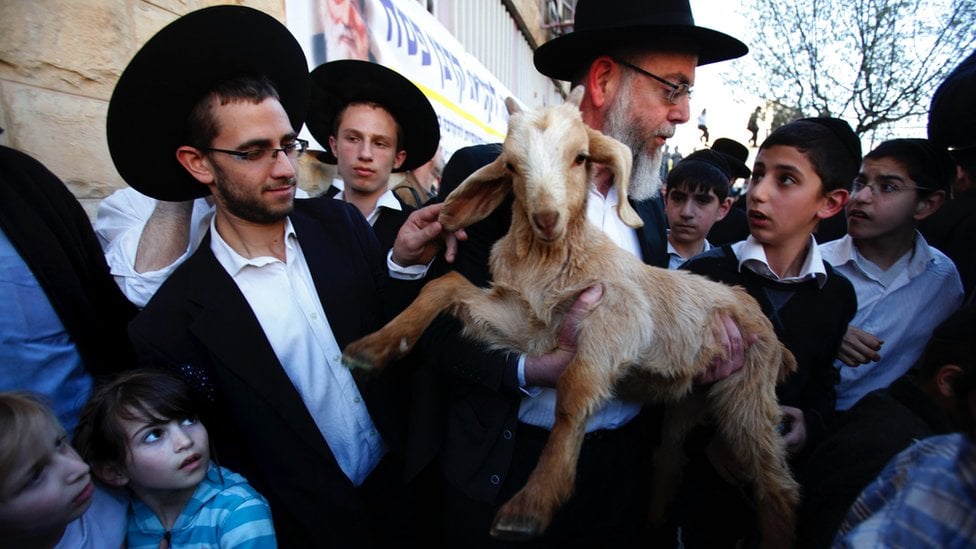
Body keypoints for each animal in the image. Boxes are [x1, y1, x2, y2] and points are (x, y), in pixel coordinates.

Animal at [344, 88, 800, 544]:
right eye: (511, 165)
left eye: (580, 157)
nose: (547, 218)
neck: (552, 259)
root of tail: (771, 333)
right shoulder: (527, 325)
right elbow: (445, 283)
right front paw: (372, 349)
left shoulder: (617, 315)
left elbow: (573, 390)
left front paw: (531, 505)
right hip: (691, 399)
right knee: (671, 455)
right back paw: (655, 517)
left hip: (748, 391)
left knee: (776, 484)